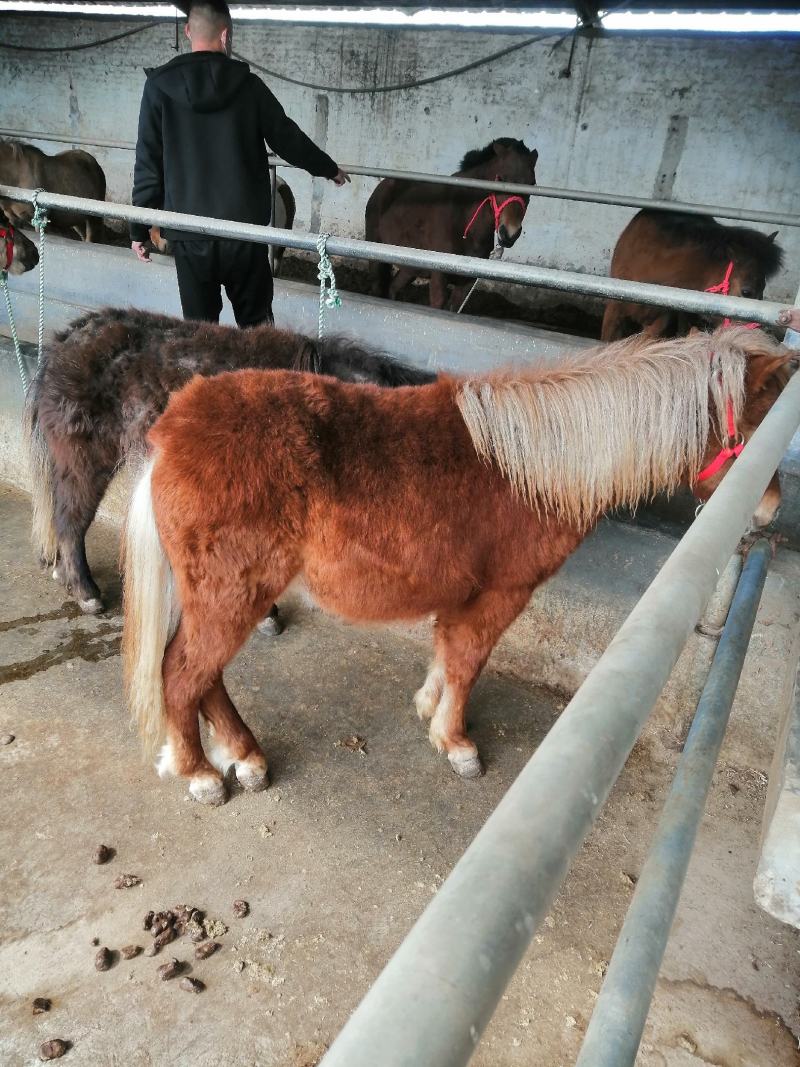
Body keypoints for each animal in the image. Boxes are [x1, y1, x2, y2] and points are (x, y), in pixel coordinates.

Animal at [121, 325, 791, 805]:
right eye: (758, 425)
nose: (770, 511)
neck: (529, 466)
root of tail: (170, 431)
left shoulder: (461, 594)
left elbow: (446, 652)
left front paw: (428, 707)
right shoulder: (501, 593)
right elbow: (468, 662)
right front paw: (456, 742)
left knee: (202, 676)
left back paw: (244, 756)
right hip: (232, 593)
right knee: (182, 674)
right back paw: (202, 774)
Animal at [365, 138, 538, 311]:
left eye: (532, 184)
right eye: (499, 178)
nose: (509, 233)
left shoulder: (465, 284)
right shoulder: (439, 278)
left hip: (410, 268)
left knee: (392, 288)